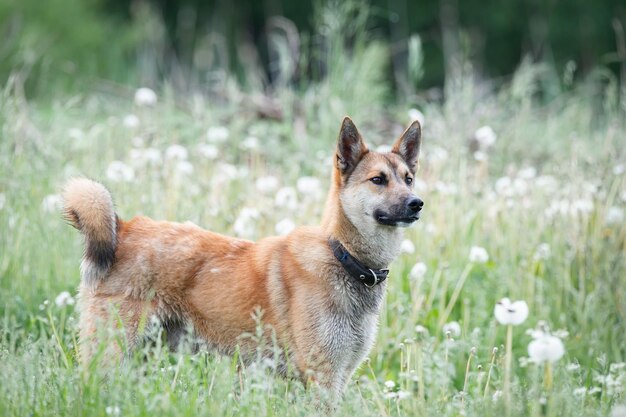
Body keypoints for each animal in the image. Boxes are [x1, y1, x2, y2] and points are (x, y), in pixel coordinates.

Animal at [62, 116, 424, 394]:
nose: (416, 203)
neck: (342, 257)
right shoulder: (322, 378)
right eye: (378, 180)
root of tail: (123, 229)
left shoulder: (339, 376)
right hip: (113, 353)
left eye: (408, 179)